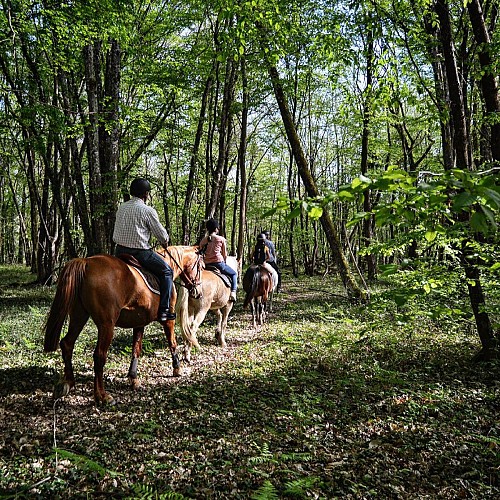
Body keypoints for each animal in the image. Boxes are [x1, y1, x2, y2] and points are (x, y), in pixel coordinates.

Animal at [43, 246, 203, 406]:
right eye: (201, 267)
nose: (198, 292)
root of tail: (86, 262)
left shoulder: (139, 323)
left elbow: (136, 349)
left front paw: (133, 378)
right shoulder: (168, 320)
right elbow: (172, 343)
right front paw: (177, 369)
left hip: (79, 316)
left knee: (67, 344)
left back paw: (67, 383)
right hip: (106, 325)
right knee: (99, 355)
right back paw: (102, 395)